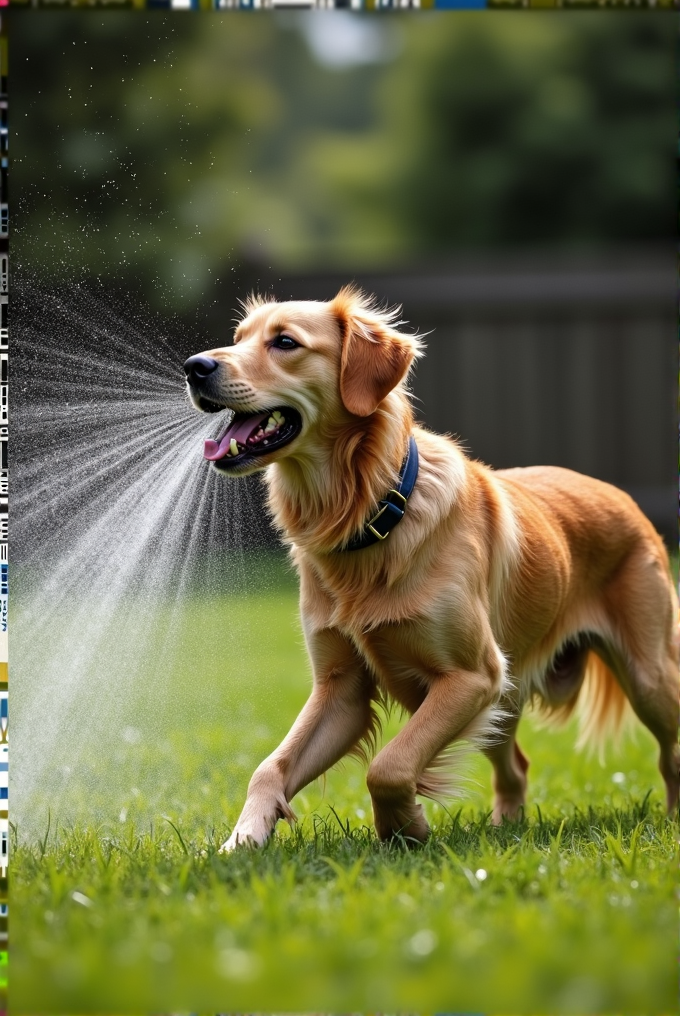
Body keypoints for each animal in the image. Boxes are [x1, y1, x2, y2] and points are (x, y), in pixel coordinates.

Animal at [182, 288, 674, 849]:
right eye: (238, 338)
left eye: (284, 342)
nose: (194, 367)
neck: (370, 514)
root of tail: (623, 497)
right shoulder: (342, 688)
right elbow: (269, 767)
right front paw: (241, 843)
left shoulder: (472, 676)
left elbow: (390, 766)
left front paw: (404, 827)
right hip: (505, 702)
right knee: (517, 767)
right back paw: (505, 829)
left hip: (647, 677)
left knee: (671, 754)